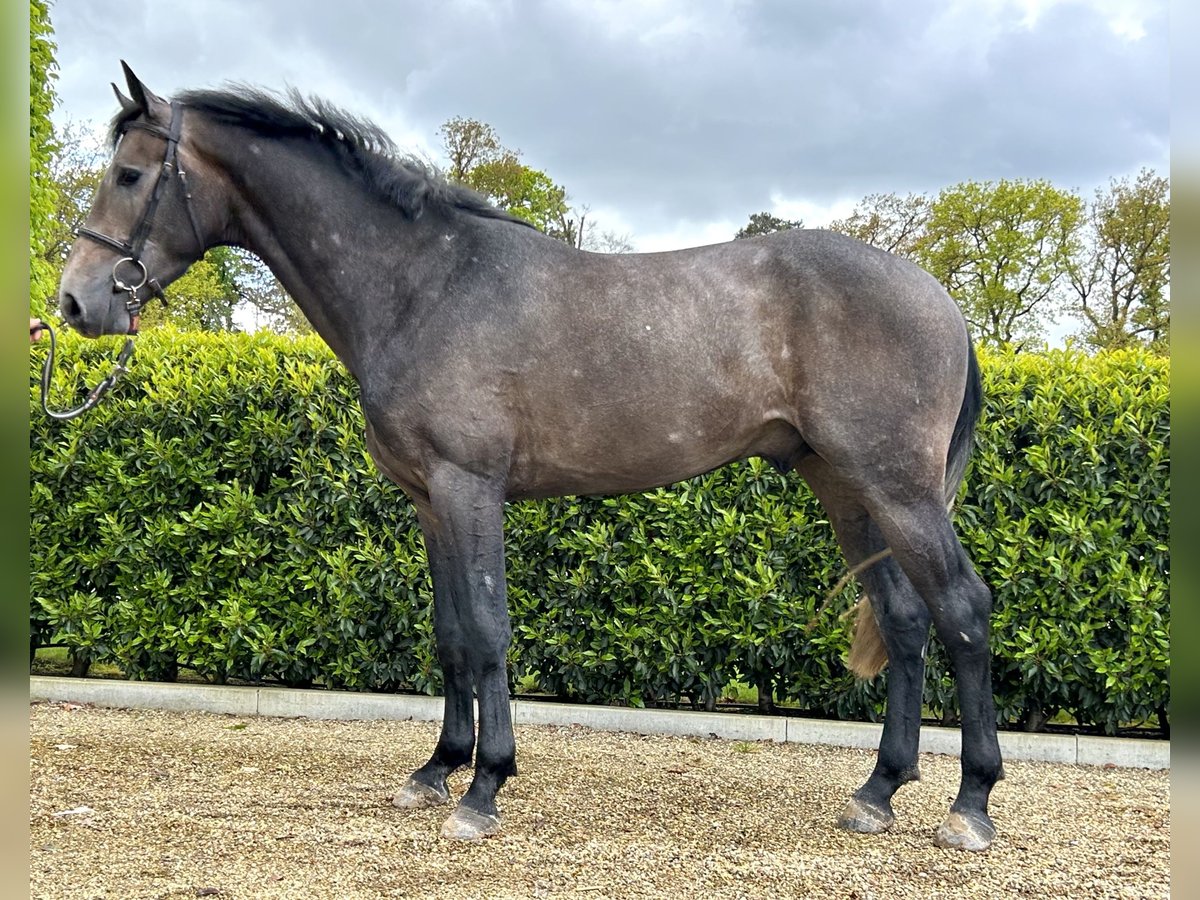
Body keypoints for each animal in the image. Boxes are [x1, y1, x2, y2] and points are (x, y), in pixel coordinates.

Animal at [56, 65, 998, 854]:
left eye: (130, 174)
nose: (75, 301)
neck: (424, 286)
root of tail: (938, 299)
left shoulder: (470, 489)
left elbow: (487, 629)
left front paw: (485, 790)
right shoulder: (430, 501)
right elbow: (449, 635)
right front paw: (437, 770)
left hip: (899, 491)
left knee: (963, 609)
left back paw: (970, 806)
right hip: (846, 489)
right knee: (906, 622)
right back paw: (877, 792)